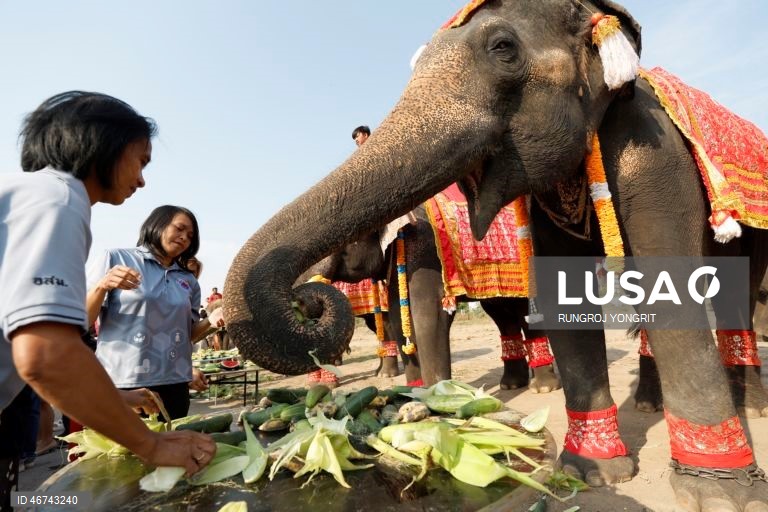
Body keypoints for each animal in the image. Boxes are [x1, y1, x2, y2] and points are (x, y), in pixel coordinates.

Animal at [317, 203, 560, 392]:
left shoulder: (425, 249)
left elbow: (428, 315)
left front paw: (436, 396)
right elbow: (399, 318)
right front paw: (413, 393)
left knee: (523, 311)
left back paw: (542, 387)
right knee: (500, 313)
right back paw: (511, 385)